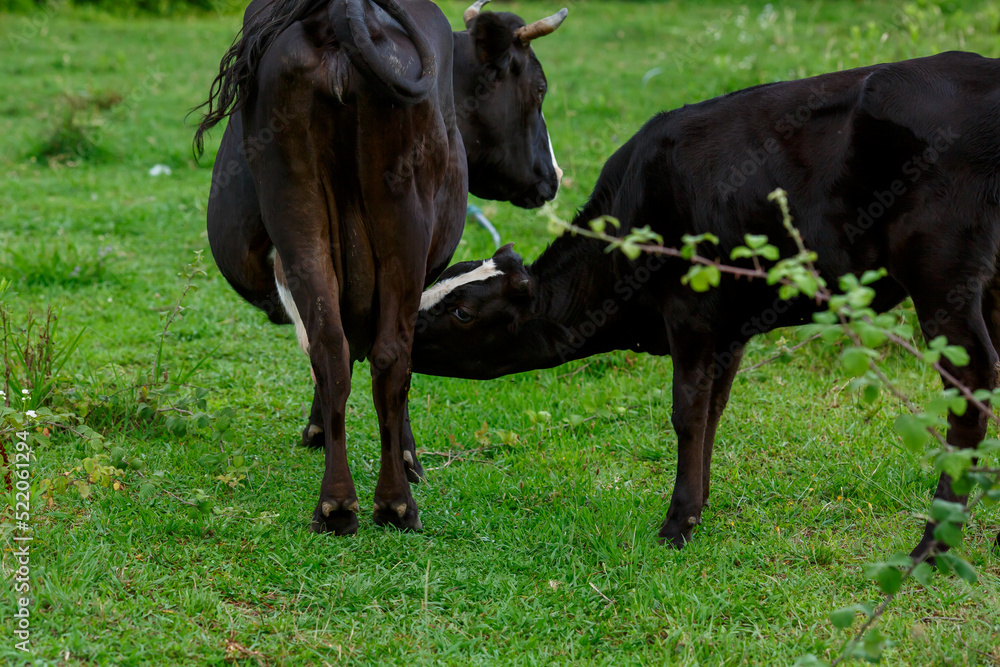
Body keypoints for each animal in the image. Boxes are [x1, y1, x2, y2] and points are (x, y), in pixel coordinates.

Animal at [193, 0, 567, 535]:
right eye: (537, 89)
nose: (552, 176)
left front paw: (318, 431)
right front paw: (409, 457)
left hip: (297, 213)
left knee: (330, 346)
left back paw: (335, 505)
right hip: (404, 221)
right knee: (391, 354)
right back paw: (395, 503)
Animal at [410, 51, 1000, 558]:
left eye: (462, 312)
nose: (397, 334)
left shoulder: (691, 313)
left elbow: (687, 413)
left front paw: (678, 523)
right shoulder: (729, 329)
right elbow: (714, 409)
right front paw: (700, 504)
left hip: (940, 271)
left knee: (972, 385)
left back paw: (931, 545)